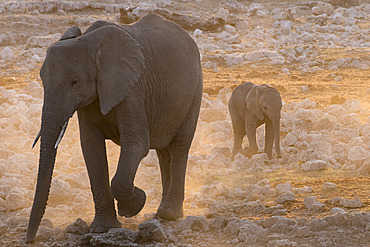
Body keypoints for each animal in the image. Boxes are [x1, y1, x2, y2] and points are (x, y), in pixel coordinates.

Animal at [26, 14, 202, 243]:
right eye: (43, 81)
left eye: (74, 82)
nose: (29, 240)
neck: (89, 42)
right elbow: (91, 148)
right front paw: (102, 228)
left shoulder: (133, 88)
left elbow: (137, 143)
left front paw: (135, 204)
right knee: (165, 152)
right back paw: (161, 214)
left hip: (195, 90)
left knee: (180, 146)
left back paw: (168, 215)